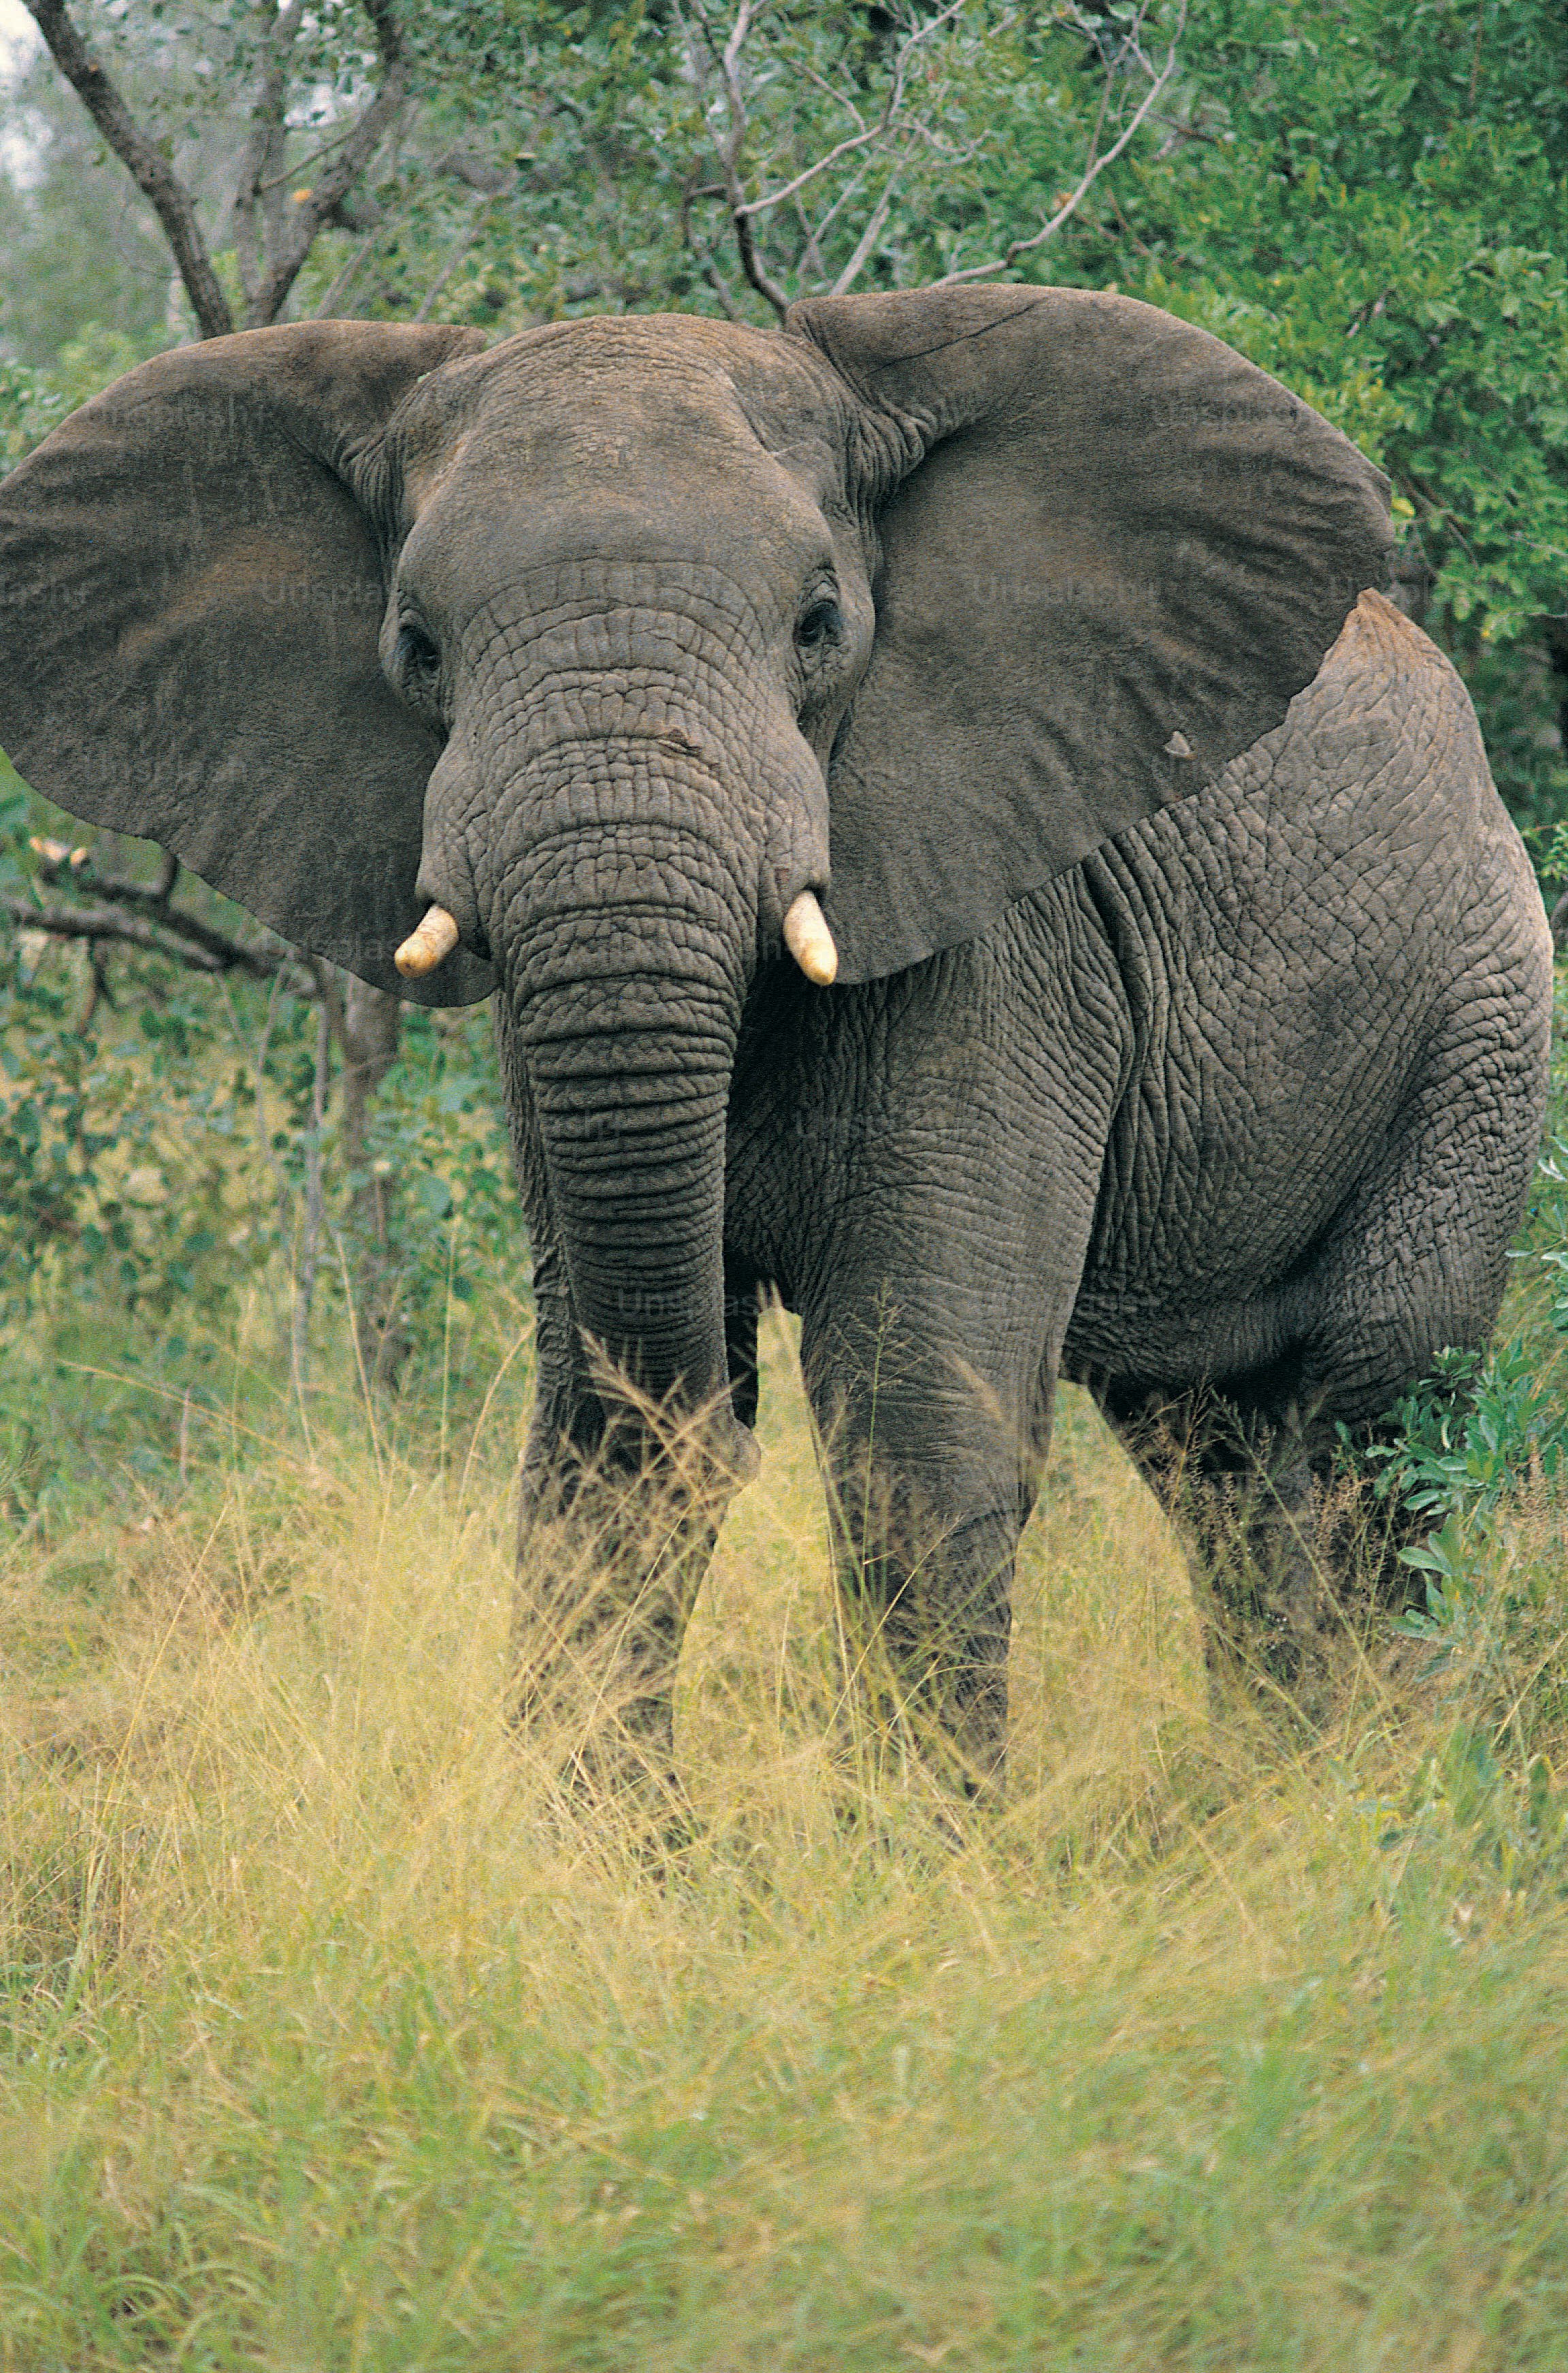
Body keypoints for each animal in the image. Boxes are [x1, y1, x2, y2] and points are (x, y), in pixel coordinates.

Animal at [0, 284, 1552, 1792]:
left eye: (818, 626)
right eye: (414, 647)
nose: (717, 1419)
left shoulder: (1006, 941)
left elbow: (916, 1429)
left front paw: (928, 1858)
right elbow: (586, 1447)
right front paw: (613, 1854)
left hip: (1481, 1021)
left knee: (1382, 1418)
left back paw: (1371, 1794)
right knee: (1207, 1452)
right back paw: (1268, 1797)